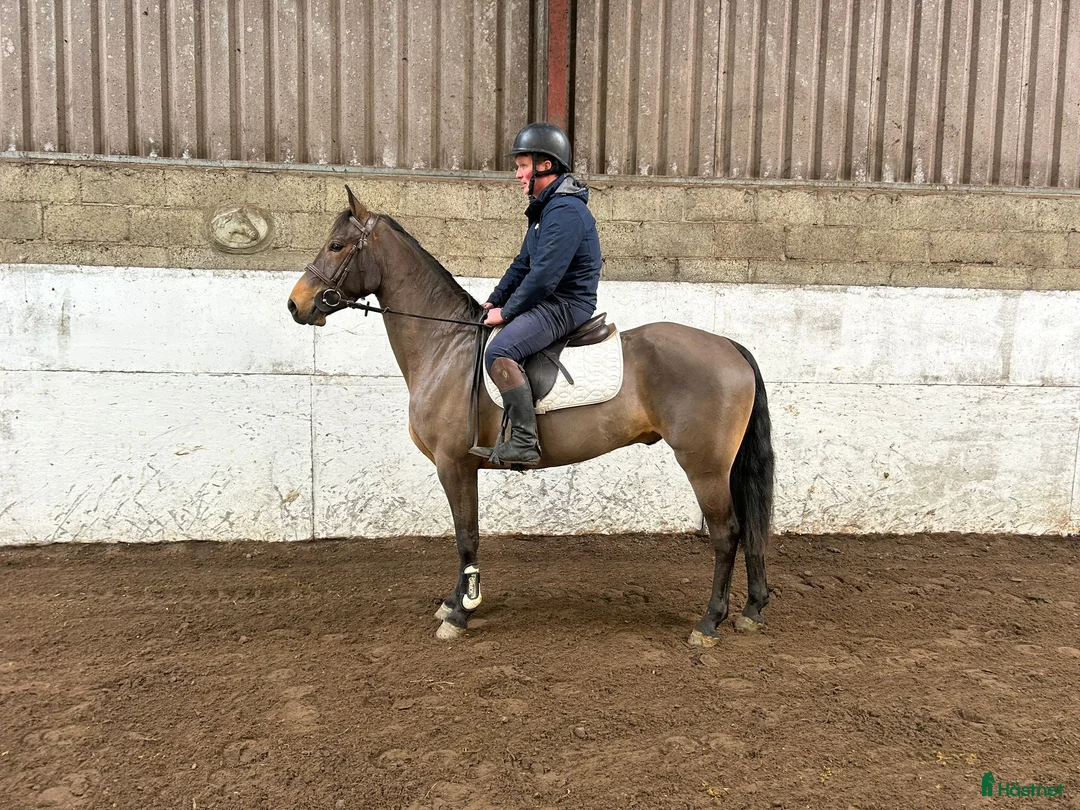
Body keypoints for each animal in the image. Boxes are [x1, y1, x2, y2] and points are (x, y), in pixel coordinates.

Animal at [288, 187, 775, 646]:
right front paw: (454, 601)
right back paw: (752, 611)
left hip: (704, 465)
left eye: (336, 246)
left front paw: (461, 612)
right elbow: (465, 533)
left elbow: (466, 536)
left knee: (727, 534)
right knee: (750, 528)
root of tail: (729, 345)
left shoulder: (453, 464)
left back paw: (709, 623)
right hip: (724, 465)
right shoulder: (463, 467)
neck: (446, 345)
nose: (295, 305)